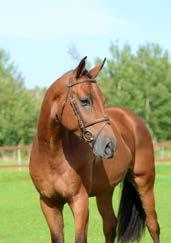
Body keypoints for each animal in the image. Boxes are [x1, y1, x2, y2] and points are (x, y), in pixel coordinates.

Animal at [29, 56, 159, 242]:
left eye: (103, 100)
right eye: (85, 100)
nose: (110, 145)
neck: (51, 155)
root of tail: (133, 119)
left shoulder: (80, 201)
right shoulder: (48, 203)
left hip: (144, 182)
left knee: (153, 225)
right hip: (105, 190)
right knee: (110, 225)